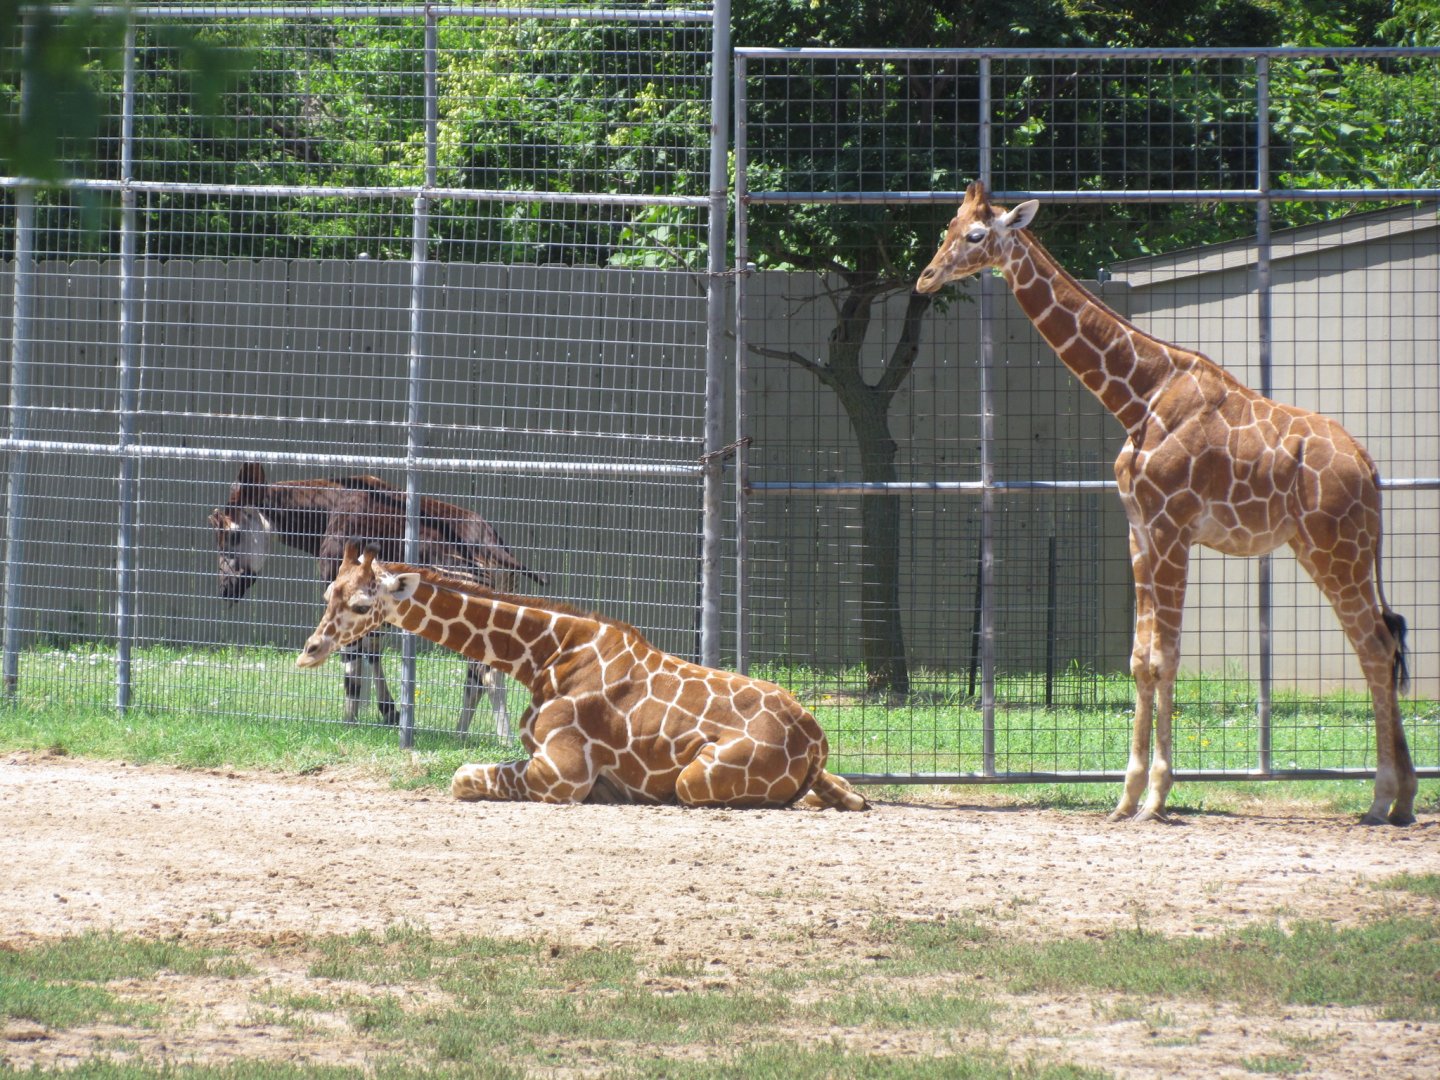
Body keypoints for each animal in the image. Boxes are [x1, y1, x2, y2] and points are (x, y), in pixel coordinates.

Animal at [209, 462, 544, 739]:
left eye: (232, 535)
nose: (226, 588)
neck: (327, 511)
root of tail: (495, 546)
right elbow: (372, 653)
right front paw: (388, 713)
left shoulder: (343, 591)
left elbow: (352, 666)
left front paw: (350, 723)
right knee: (480, 675)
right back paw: (463, 735)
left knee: (485, 673)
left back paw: (501, 740)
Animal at [297, 543, 868, 811]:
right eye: (327, 593)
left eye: (363, 603)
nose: (309, 651)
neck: (545, 656)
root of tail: (815, 739)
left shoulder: (561, 773)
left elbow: (460, 776)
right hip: (817, 774)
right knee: (845, 793)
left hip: (695, 779)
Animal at [916, 181, 1415, 826]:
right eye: (947, 229)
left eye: (976, 235)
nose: (925, 278)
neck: (1138, 397)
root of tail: (1369, 467)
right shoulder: (1139, 529)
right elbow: (1137, 659)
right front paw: (1126, 794)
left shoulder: (1174, 528)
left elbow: (1163, 658)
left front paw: (1155, 796)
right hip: (1322, 547)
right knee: (1381, 643)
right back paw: (1403, 798)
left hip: (1339, 548)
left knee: (1377, 648)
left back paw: (1382, 798)